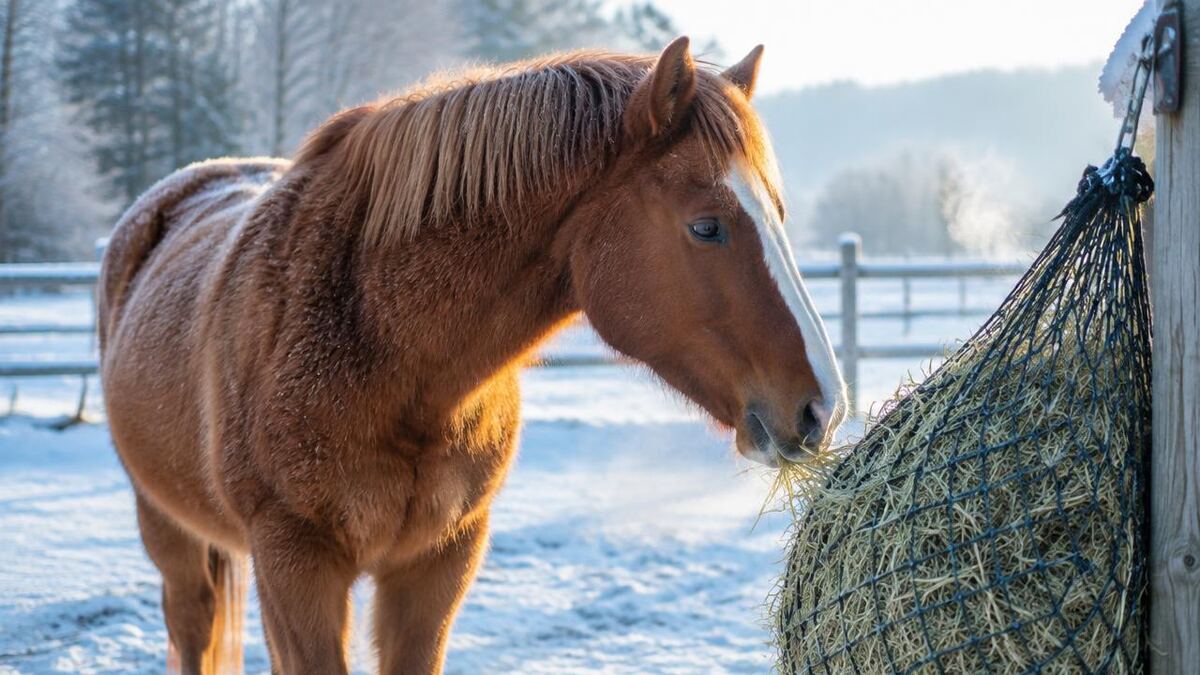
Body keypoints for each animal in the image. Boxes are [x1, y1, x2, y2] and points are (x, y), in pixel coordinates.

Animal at [98, 37, 847, 674]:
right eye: (706, 226)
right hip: (168, 534)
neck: (380, 349)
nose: (823, 408)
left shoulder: (439, 562)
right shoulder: (294, 565)